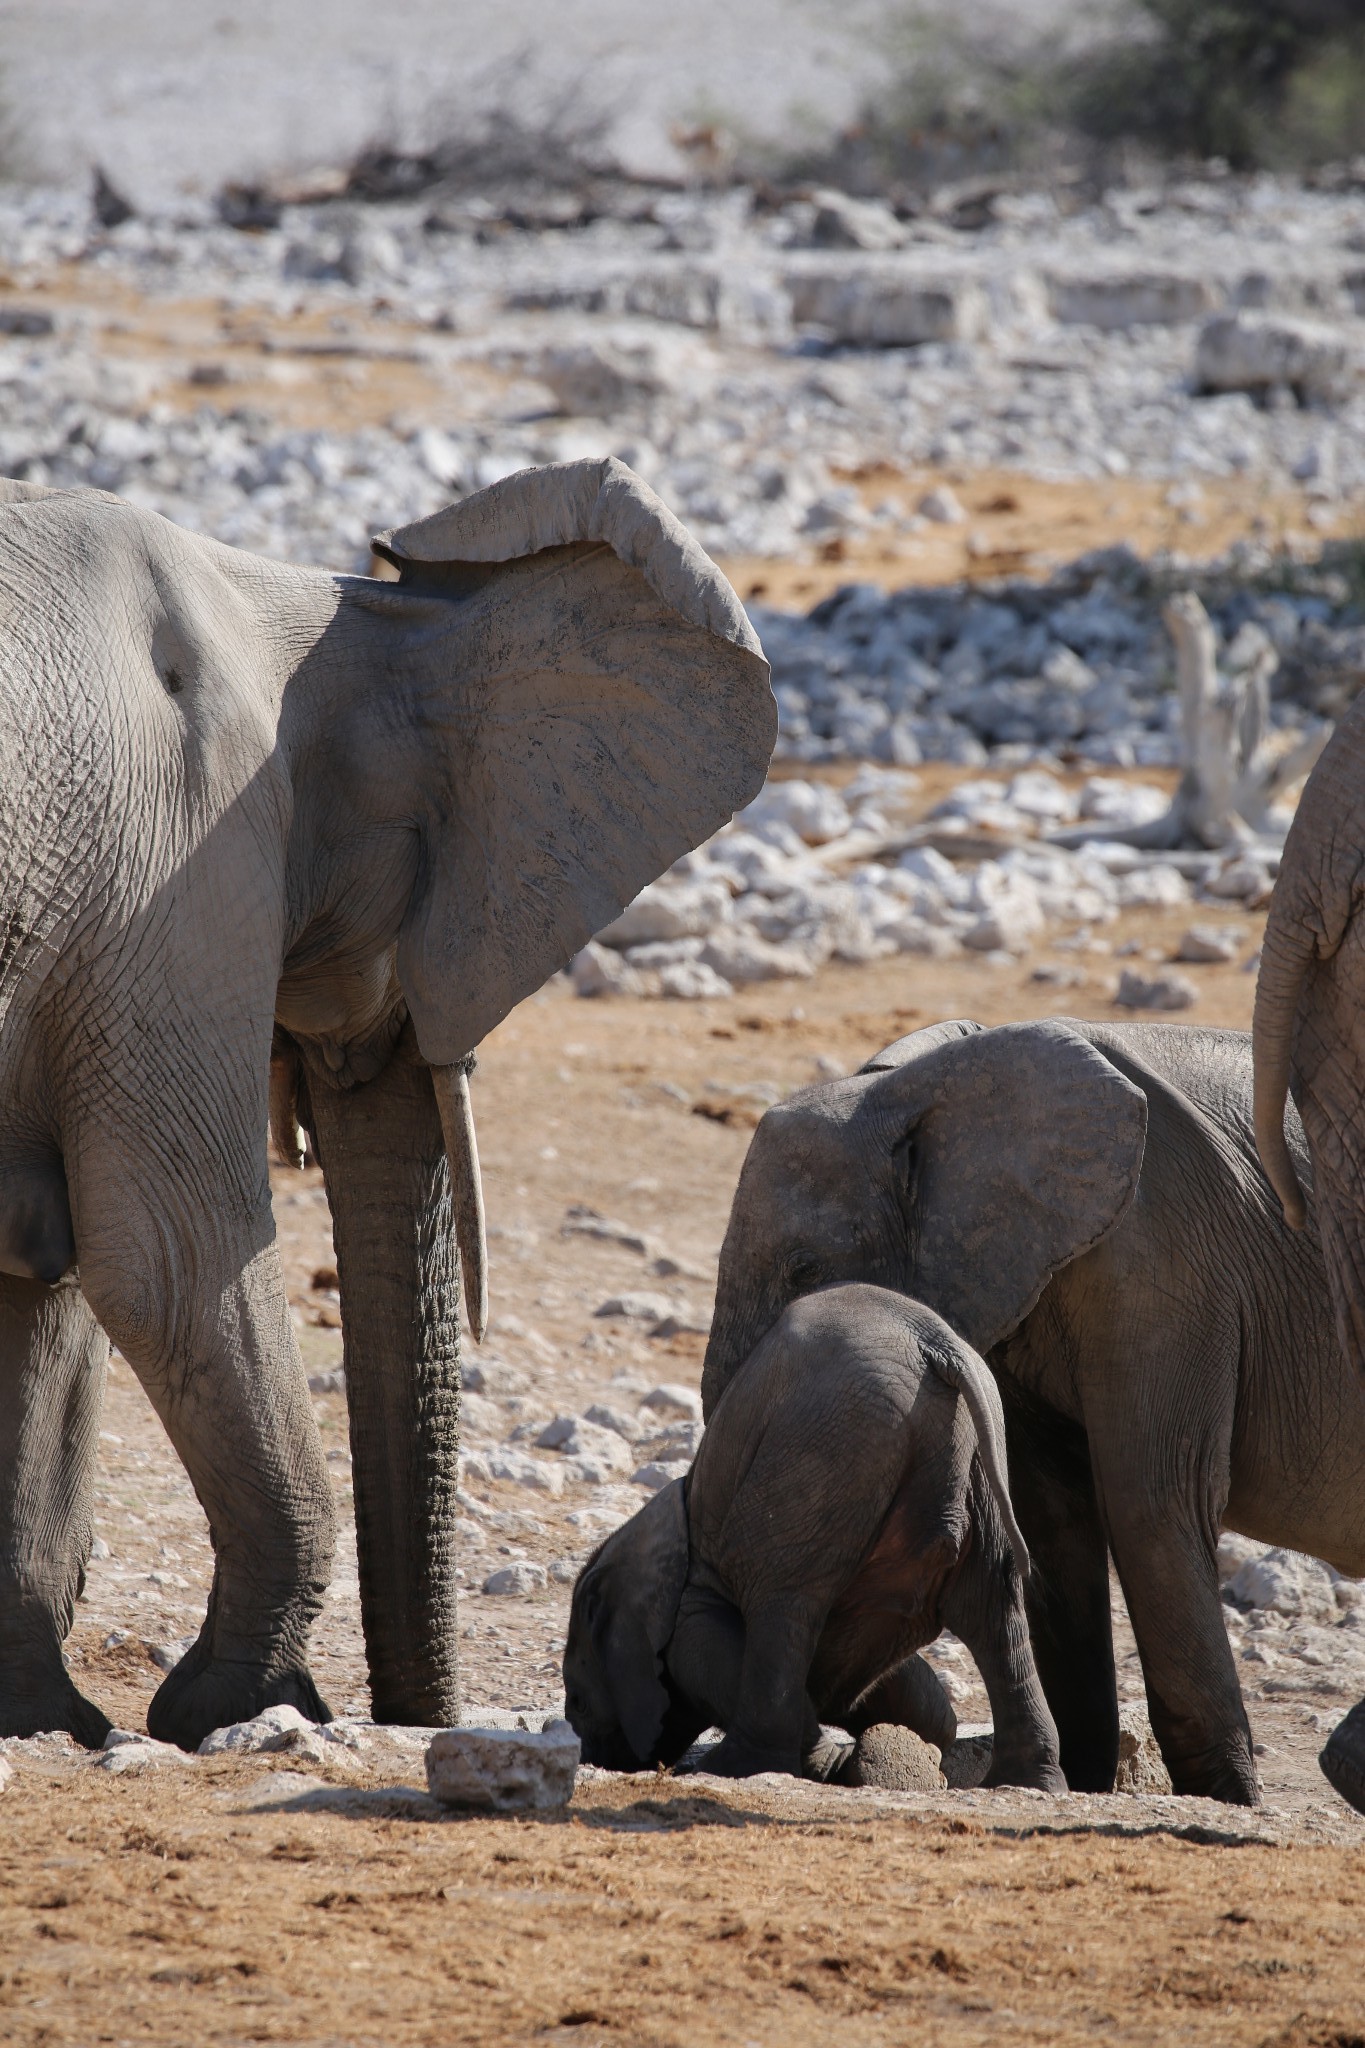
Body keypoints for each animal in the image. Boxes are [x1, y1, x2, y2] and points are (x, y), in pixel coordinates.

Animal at [0, 456, 773, 1753]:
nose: (418, 1721)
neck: (311, 608)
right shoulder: (172, 860)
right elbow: (168, 1253)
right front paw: (249, 1705)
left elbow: (43, 1271)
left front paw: (44, 1718)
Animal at [564, 1286, 1064, 1785]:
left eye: (578, 1701)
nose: (592, 1752)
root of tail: (935, 1343)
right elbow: (909, 1690)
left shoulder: (693, 1596)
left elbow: (706, 1651)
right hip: (974, 1453)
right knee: (995, 1613)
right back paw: (1025, 1781)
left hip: (824, 1448)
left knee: (783, 1604)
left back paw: (736, 1768)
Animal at [703, 1024, 1365, 1810]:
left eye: (805, 1270)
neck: (918, 1082)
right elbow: (1052, 1519)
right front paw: (1076, 1783)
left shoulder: (1163, 1266)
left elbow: (1151, 1502)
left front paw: (1225, 1801)